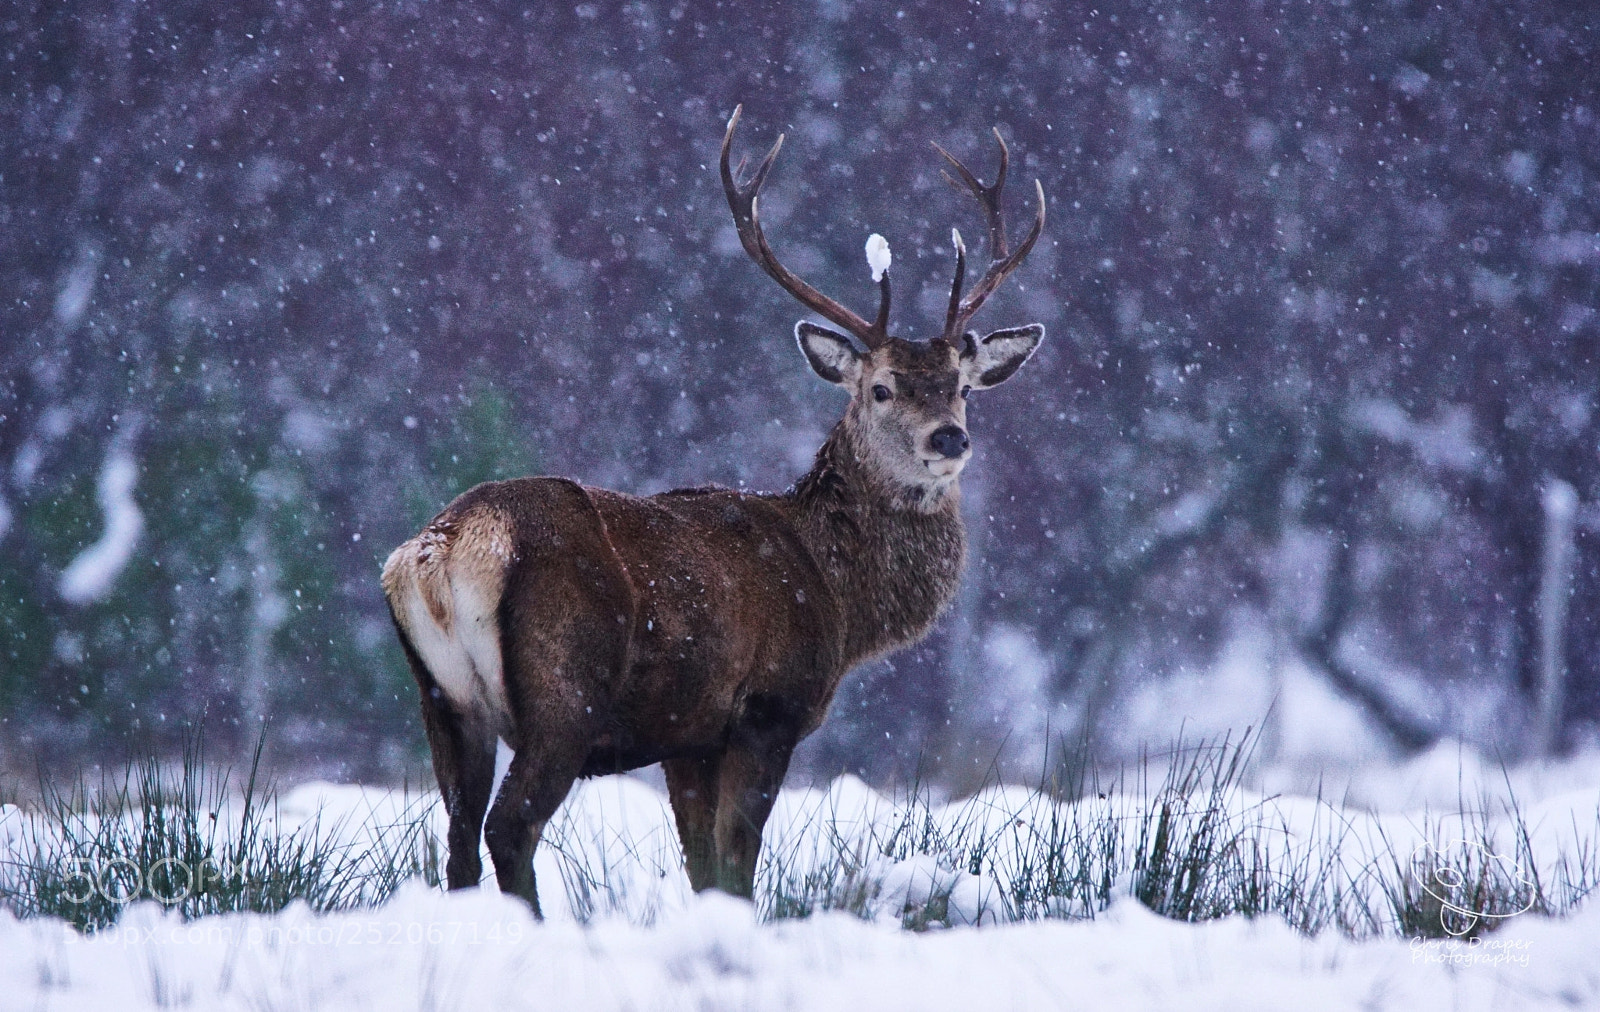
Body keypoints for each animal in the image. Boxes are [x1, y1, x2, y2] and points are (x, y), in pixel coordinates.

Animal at [381, 106, 1045, 915]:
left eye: (964, 387)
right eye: (881, 388)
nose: (949, 437)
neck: (839, 596)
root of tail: (440, 550)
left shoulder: (688, 736)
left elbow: (700, 865)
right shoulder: (765, 709)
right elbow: (736, 863)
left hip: (444, 700)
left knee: (456, 837)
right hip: (564, 692)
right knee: (510, 827)